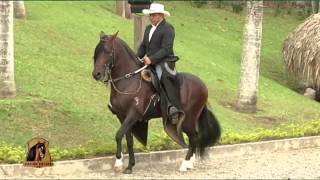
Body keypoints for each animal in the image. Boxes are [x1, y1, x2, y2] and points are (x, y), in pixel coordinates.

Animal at [92, 31, 221, 174]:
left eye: (108, 51)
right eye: (96, 51)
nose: (96, 74)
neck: (128, 81)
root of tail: (203, 86)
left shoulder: (133, 115)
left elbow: (118, 135)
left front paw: (119, 163)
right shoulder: (122, 116)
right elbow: (129, 140)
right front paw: (130, 166)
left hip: (188, 119)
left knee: (194, 137)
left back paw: (184, 164)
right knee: (194, 138)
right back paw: (190, 163)